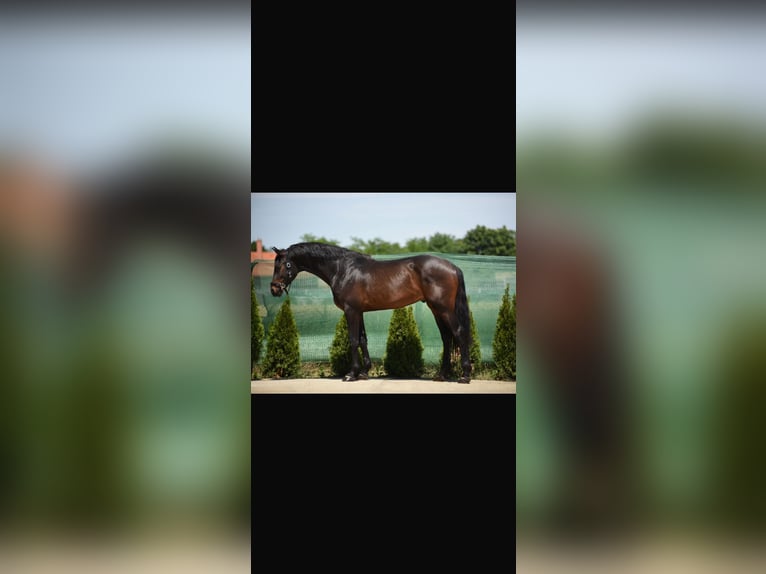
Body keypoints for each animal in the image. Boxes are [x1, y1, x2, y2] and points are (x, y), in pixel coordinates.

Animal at [269, 242, 473, 383]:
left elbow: (352, 340)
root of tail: (453, 267)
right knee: (447, 338)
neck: (342, 269)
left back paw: (465, 375)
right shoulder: (359, 312)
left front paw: (351, 374)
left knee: (459, 333)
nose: (274, 289)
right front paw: (364, 372)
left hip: (444, 309)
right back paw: (442, 375)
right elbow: (362, 340)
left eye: (285, 265)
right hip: (436, 310)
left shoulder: (351, 310)